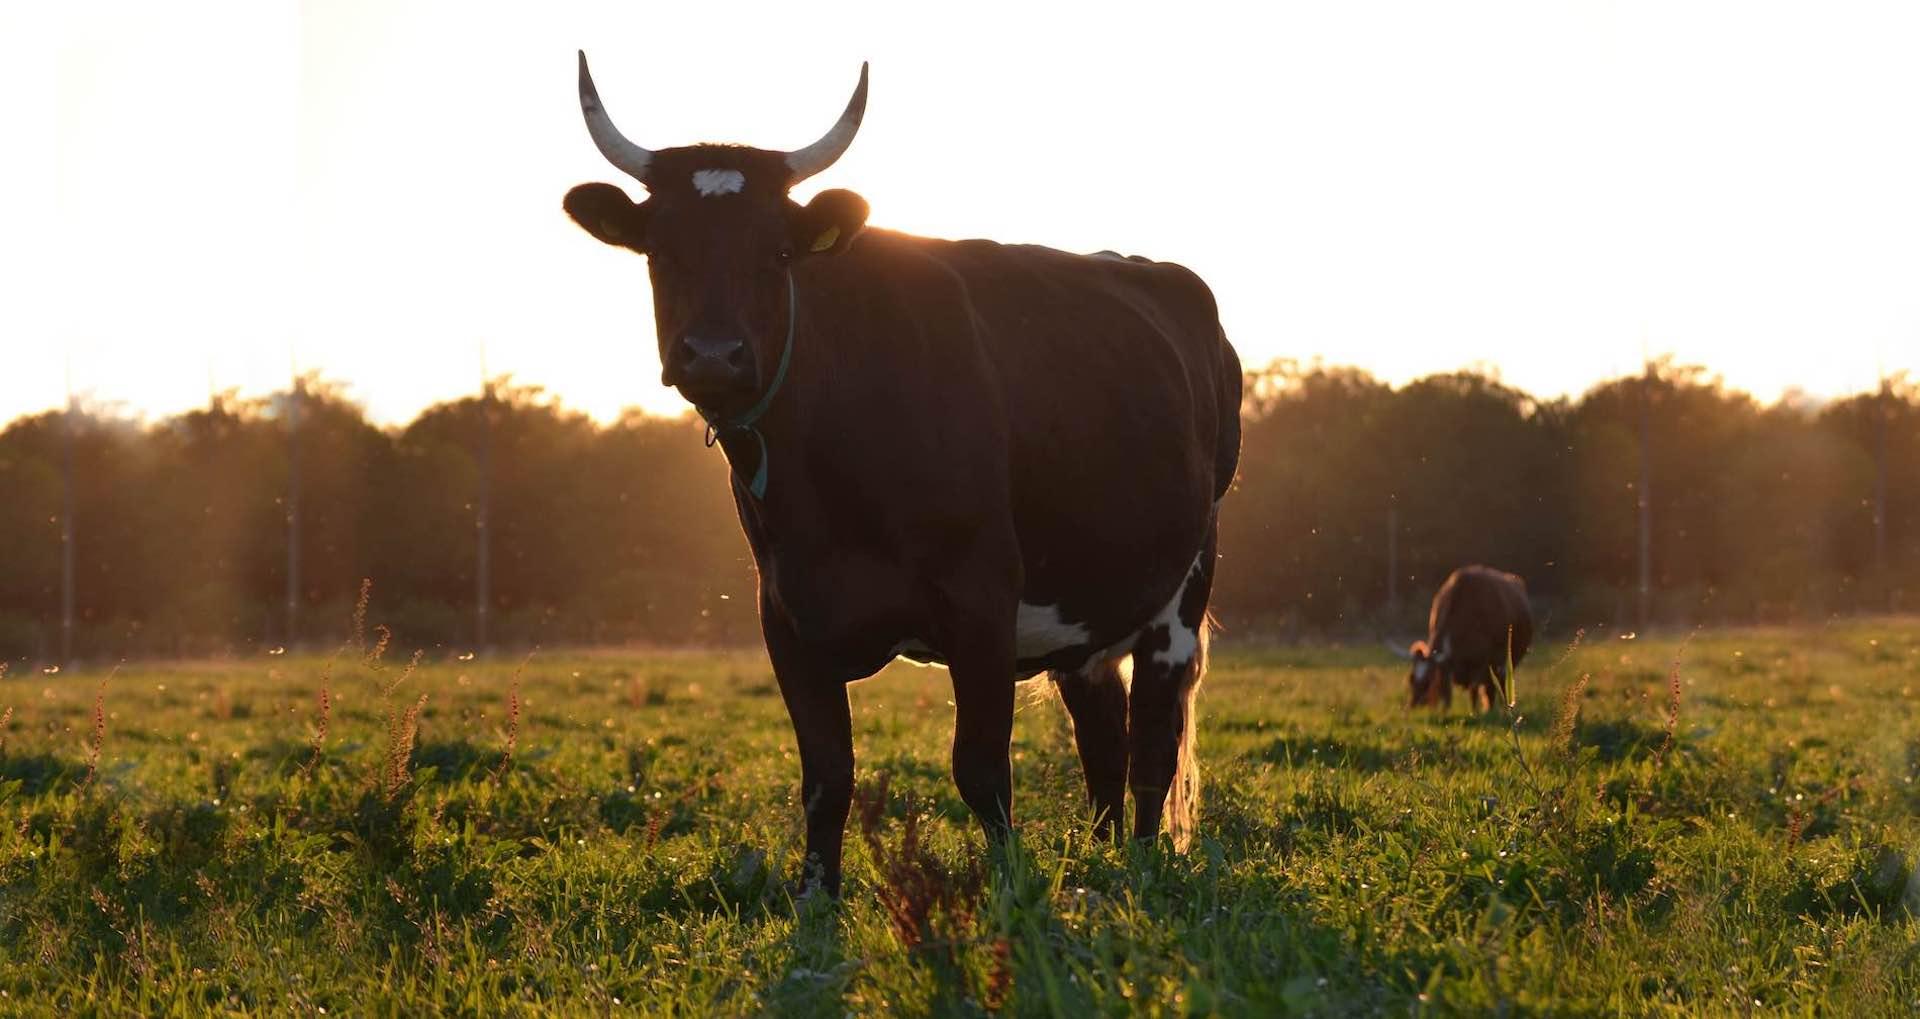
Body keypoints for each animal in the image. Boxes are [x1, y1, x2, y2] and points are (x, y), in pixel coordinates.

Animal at [556, 57, 1244, 901]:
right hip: (1088, 611)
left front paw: (1010, 884)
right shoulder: (786, 618)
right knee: (1102, 737)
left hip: (1183, 585)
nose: (713, 355)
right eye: (660, 251)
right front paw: (816, 894)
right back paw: (1102, 858)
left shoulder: (981, 598)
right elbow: (827, 775)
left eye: (777, 253)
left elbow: (980, 768)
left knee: (1150, 739)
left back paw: (1142, 862)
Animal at [1397, 568, 1528, 710]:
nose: (1413, 704)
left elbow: (1473, 690)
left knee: (1498, 686)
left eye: (1429, 681)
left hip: (1506, 663)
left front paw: (1474, 712)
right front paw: (1444, 711)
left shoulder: (1481, 663)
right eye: (1411, 679)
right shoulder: (1447, 666)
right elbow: (1446, 691)